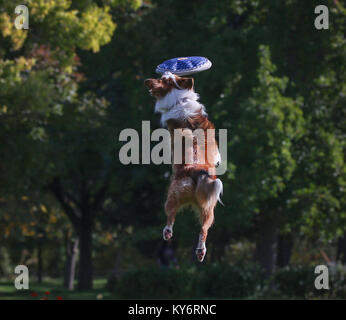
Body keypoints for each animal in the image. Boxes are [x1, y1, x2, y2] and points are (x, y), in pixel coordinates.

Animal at [145, 71, 223, 262]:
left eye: (161, 79)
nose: (146, 81)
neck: (180, 100)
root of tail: (196, 170)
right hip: (209, 206)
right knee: (203, 229)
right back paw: (200, 251)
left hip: (173, 193)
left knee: (170, 215)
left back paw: (167, 232)